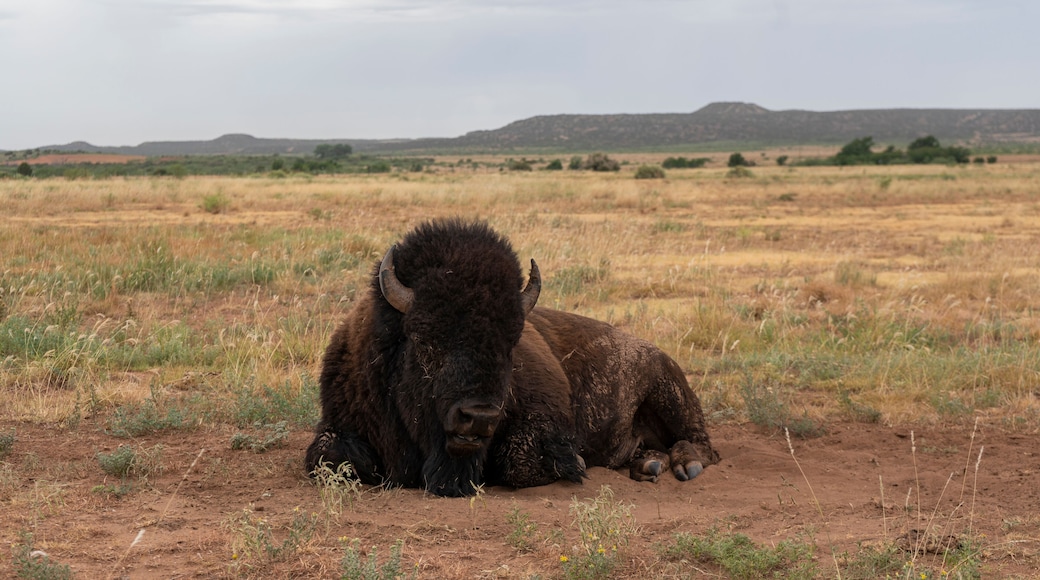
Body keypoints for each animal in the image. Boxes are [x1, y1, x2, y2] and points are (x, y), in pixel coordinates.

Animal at [305, 219, 718, 497]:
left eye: (511, 342)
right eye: (424, 339)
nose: (478, 417)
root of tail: (654, 350)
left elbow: (523, 461)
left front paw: (576, 463)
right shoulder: (338, 422)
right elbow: (328, 458)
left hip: (670, 390)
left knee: (703, 444)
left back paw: (684, 465)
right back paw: (647, 464)